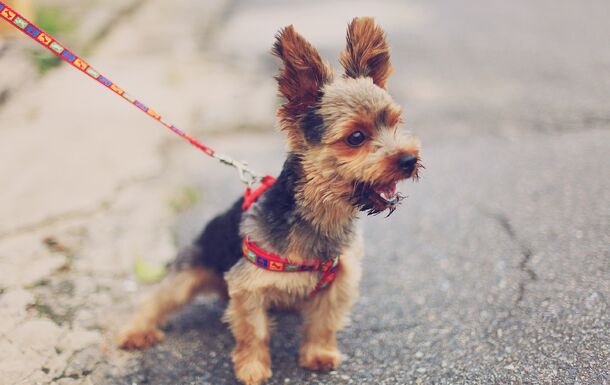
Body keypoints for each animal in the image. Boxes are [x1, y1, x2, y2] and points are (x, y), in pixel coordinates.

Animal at [116, 16, 420, 384]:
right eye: (356, 137)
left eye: (395, 123)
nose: (409, 160)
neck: (320, 214)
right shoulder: (248, 288)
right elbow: (254, 332)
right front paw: (252, 369)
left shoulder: (340, 282)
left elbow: (323, 323)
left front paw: (319, 354)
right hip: (190, 270)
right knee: (157, 299)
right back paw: (136, 332)